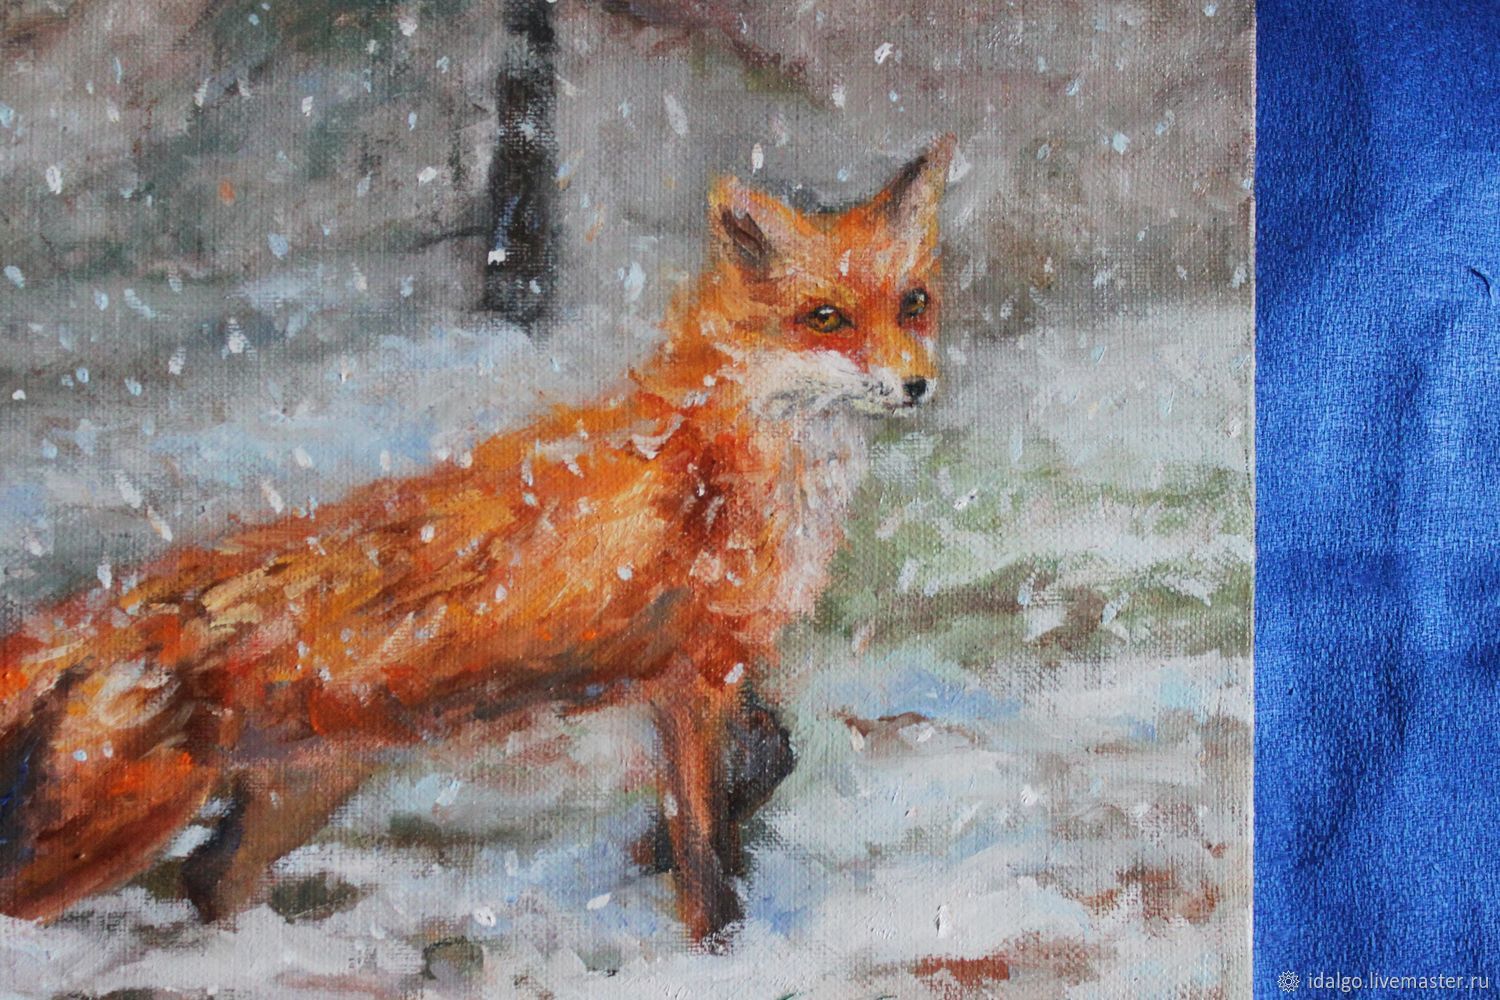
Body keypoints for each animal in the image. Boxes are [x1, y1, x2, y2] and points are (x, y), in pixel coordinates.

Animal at [0, 134, 954, 943]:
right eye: (825, 317)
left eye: (914, 303)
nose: (916, 384)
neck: (734, 457)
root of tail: (109, 609)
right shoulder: (689, 677)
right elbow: (704, 835)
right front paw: (715, 935)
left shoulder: (719, 661)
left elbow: (769, 761)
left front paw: (648, 853)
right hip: (113, 829)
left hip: (301, 790)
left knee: (207, 879)